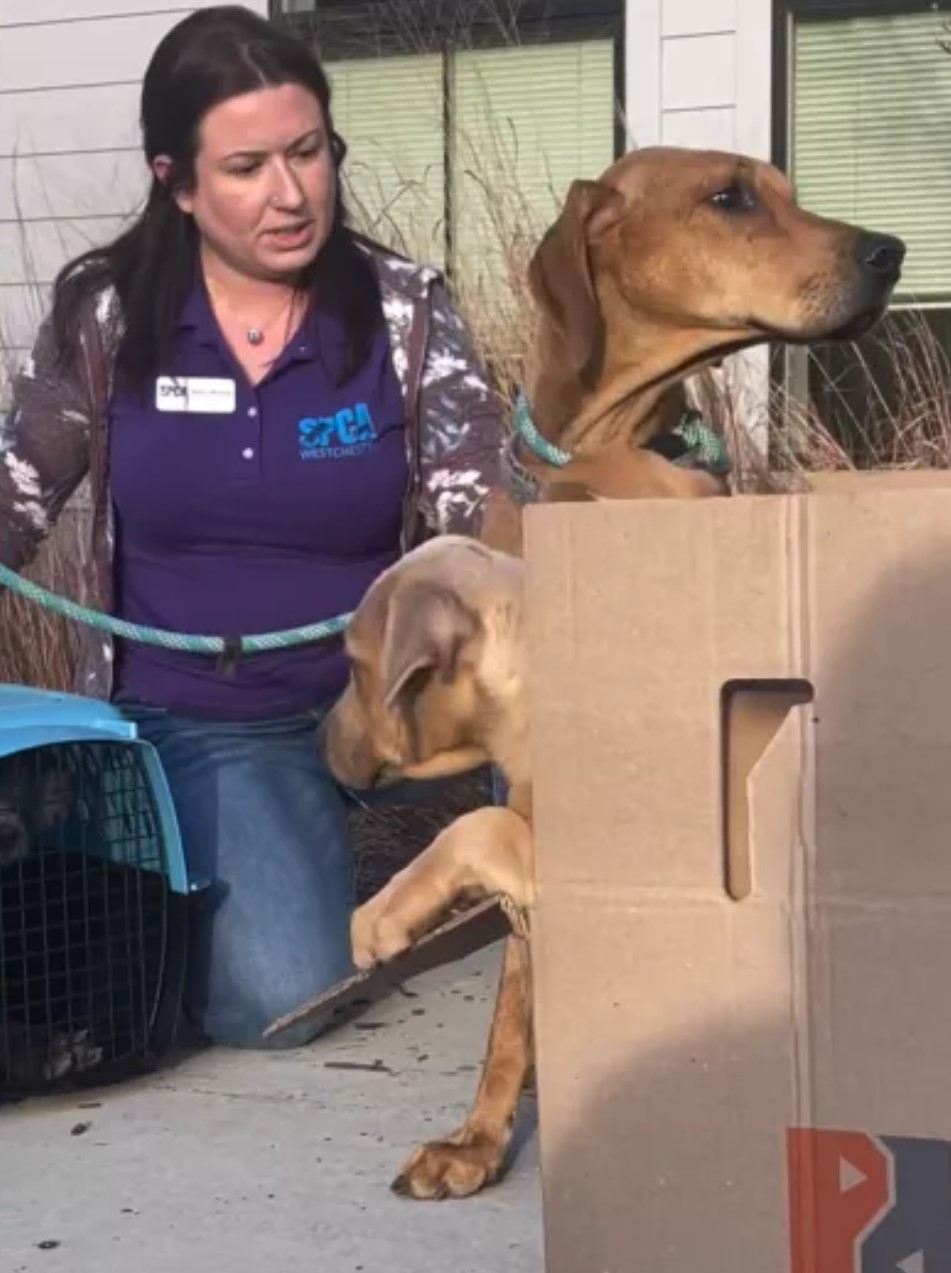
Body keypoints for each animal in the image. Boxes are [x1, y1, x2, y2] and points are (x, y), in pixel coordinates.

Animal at [323, 144, 906, 1196]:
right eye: (729, 197)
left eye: (785, 190)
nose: (892, 252)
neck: (607, 454)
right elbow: (512, 1001)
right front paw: (478, 1137)